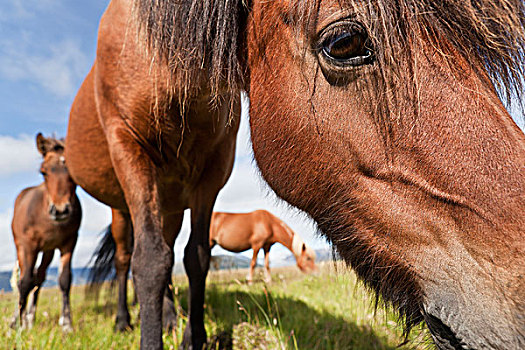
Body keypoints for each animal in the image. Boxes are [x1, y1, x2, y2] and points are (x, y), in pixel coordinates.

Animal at [10, 134, 80, 330]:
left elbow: (64, 279)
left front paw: (67, 324)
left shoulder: (69, 242)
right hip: (21, 248)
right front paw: (16, 324)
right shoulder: (28, 246)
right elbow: (24, 281)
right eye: (44, 171)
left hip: (48, 250)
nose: (60, 210)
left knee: (39, 277)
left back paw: (30, 318)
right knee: (25, 278)